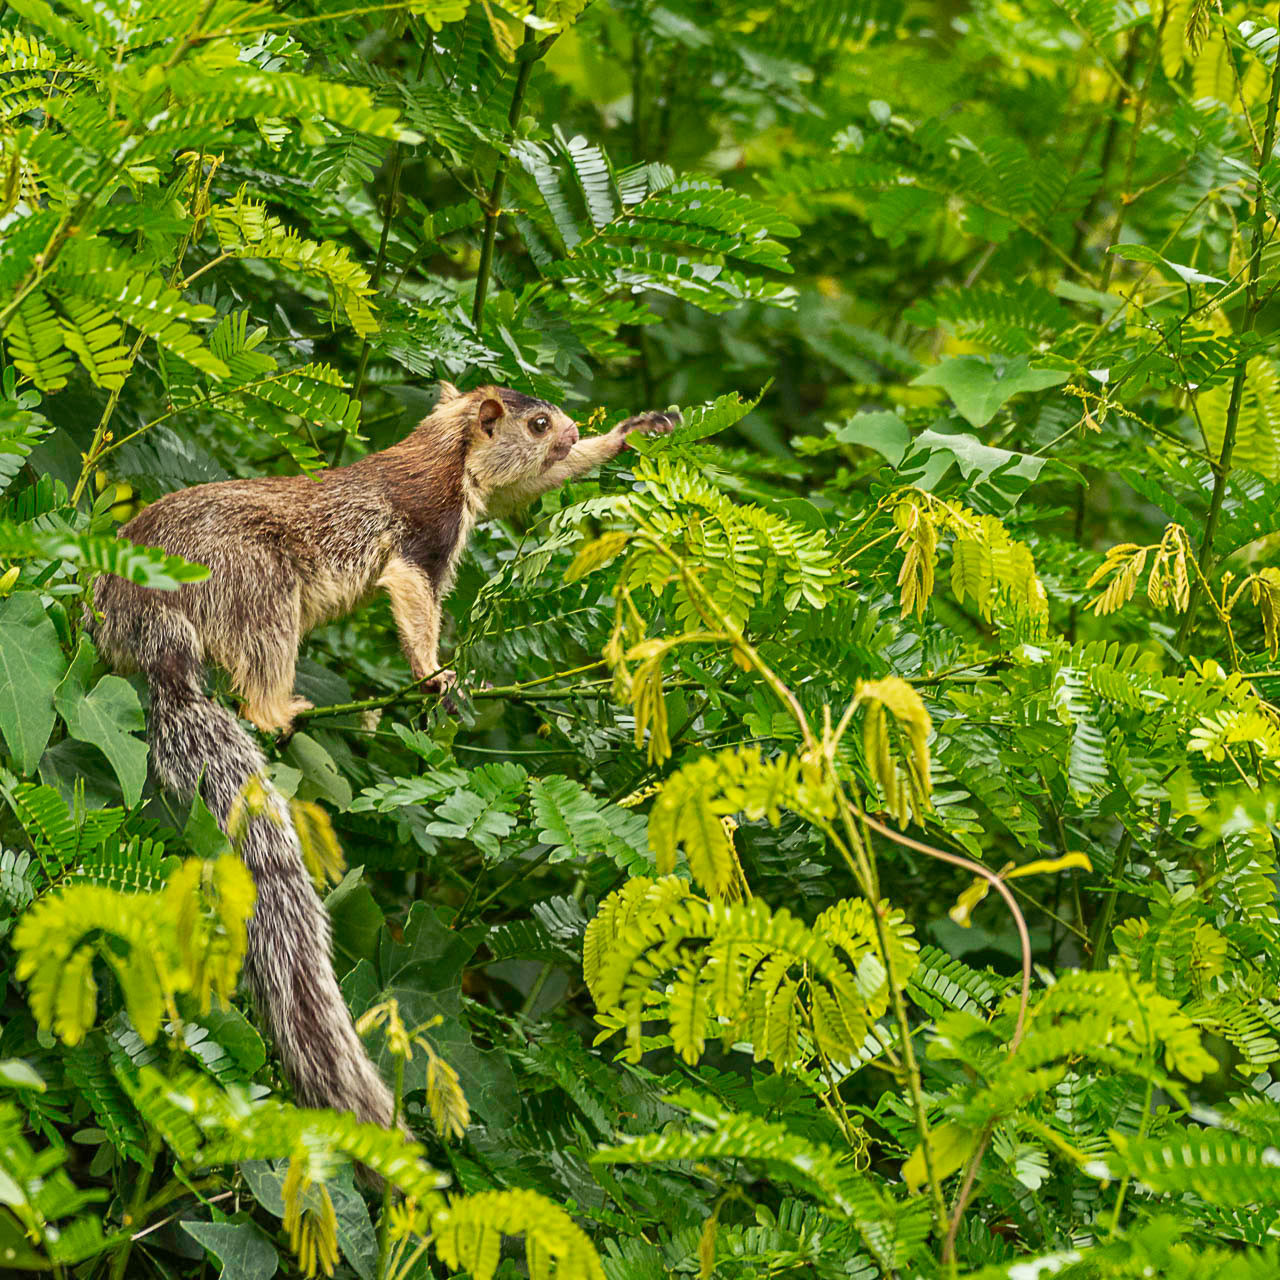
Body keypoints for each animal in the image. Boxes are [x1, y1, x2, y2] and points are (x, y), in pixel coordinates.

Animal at [91, 383, 678, 1129]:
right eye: (537, 422)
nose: (573, 432)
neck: (445, 450)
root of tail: (142, 611)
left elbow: (529, 488)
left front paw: (637, 429)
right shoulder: (423, 532)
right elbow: (413, 594)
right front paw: (435, 676)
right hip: (256, 581)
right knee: (257, 678)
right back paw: (283, 711)